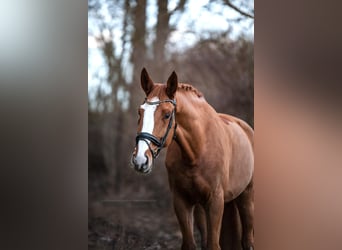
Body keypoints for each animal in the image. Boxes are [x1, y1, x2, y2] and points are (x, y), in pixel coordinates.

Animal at [131, 68, 254, 250]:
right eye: (140, 112)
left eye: (167, 115)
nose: (140, 159)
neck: (197, 151)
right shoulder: (181, 201)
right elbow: (190, 244)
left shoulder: (216, 202)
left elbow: (213, 245)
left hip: (246, 196)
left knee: (247, 240)